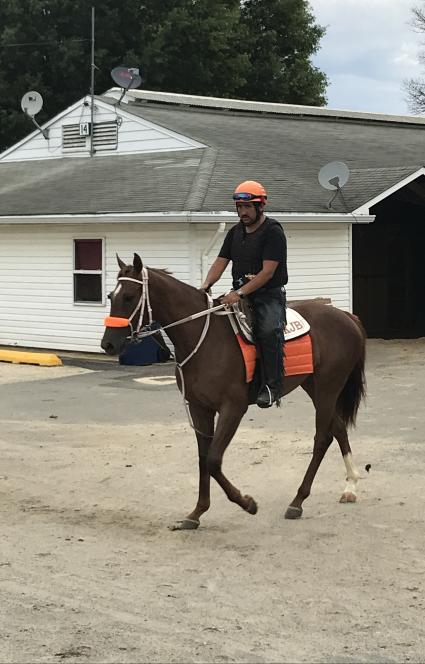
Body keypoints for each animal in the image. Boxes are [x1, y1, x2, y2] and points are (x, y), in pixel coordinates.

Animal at [102, 253, 364, 528]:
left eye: (129, 296)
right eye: (110, 295)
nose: (108, 344)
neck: (203, 337)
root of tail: (347, 317)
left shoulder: (232, 409)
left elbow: (214, 460)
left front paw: (247, 503)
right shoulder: (200, 409)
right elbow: (203, 459)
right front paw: (197, 512)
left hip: (327, 387)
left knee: (322, 438)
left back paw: (298, 501)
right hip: (313, 386)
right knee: (338, 428)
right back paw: (350, 486)